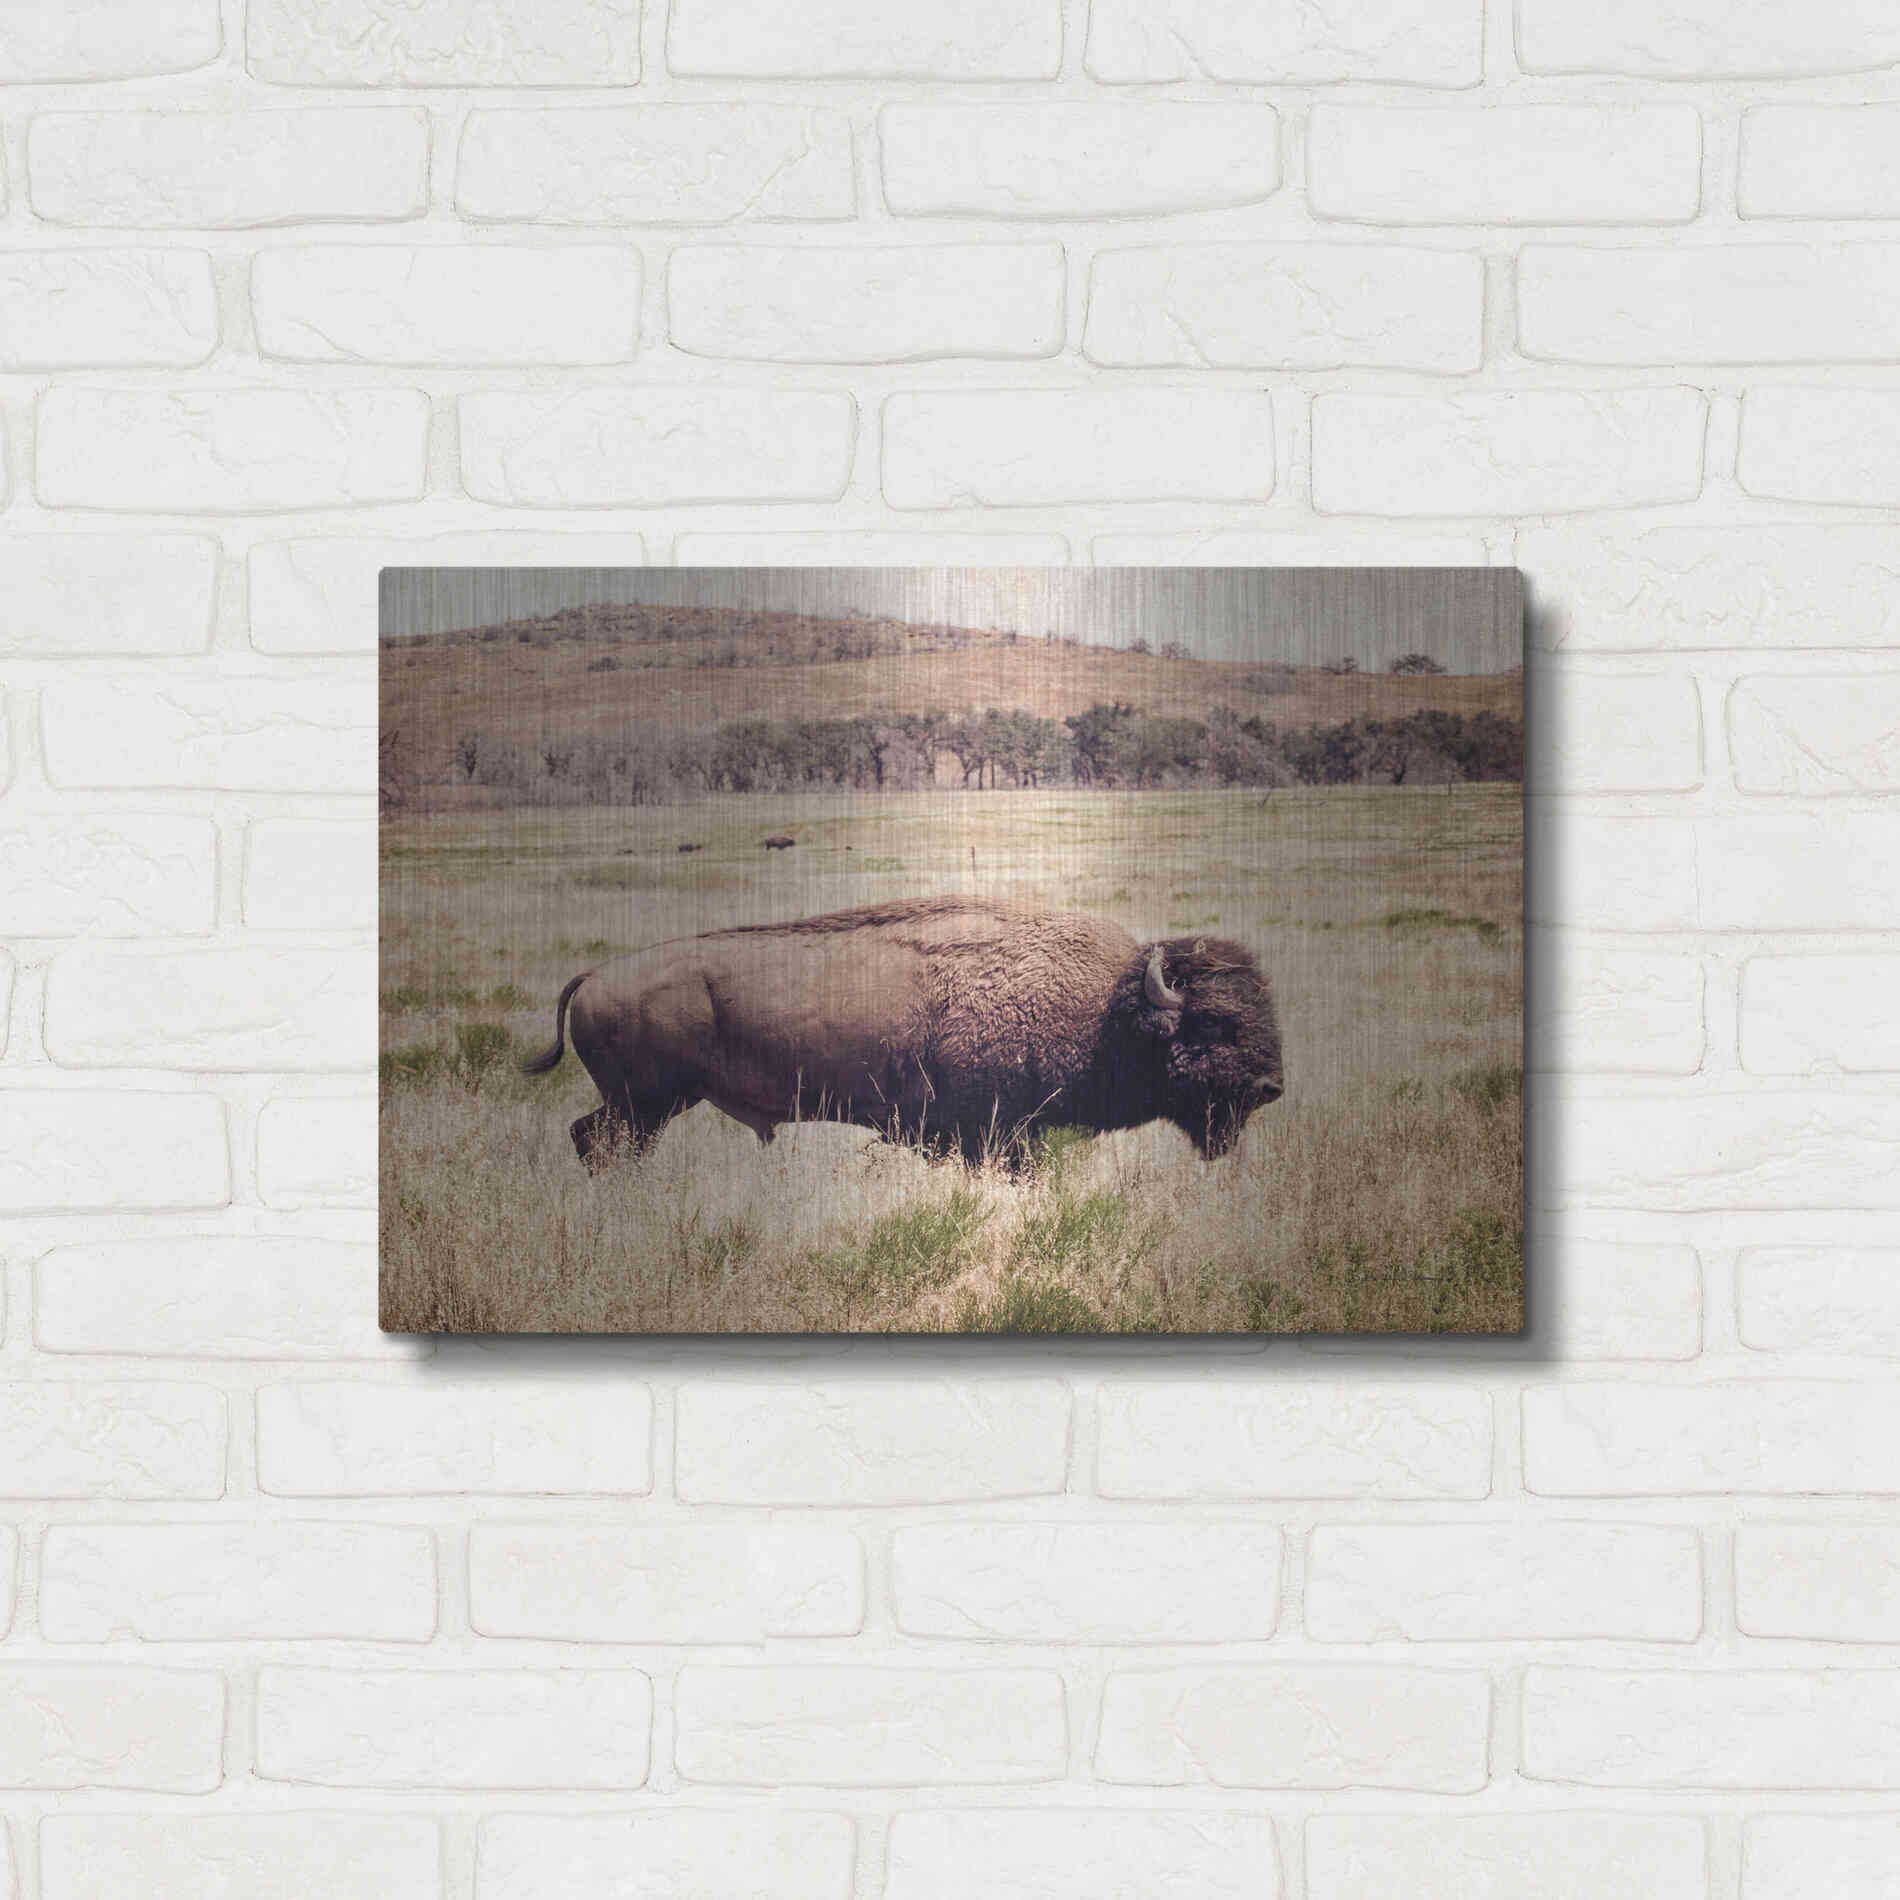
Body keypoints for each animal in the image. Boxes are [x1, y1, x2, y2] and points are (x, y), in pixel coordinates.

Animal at [522, 897, 1282, 1170]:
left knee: (589, 1137)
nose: (1272, 1086)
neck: (1105, 1010)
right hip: (646, 1105)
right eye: (1215, 1023)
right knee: (599, 1142)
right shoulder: (992, 1134)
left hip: (641, 1107)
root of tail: (596, 976)